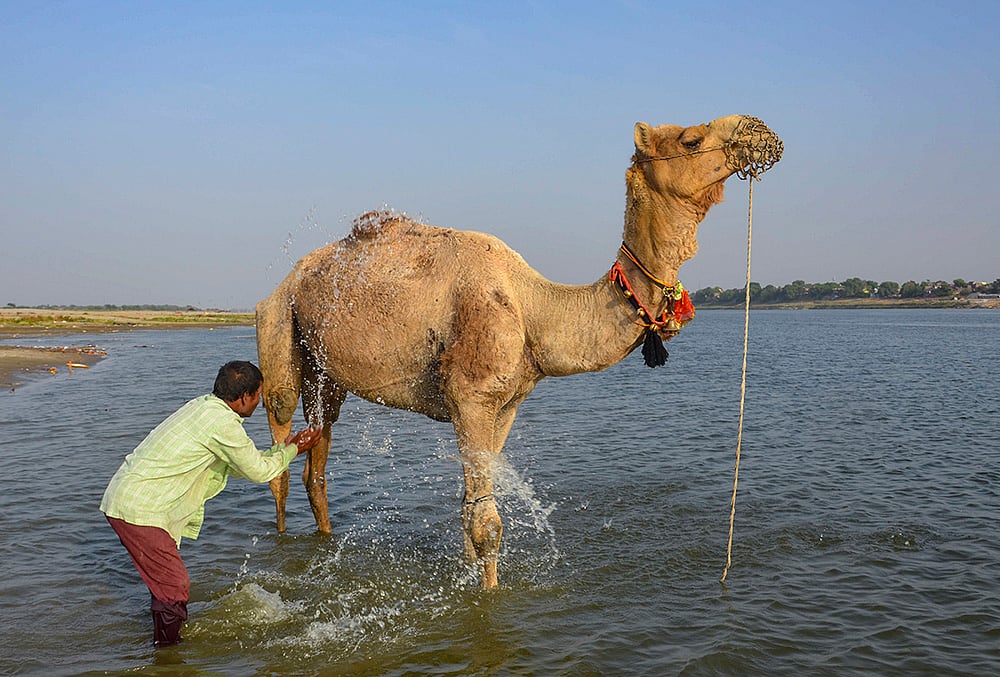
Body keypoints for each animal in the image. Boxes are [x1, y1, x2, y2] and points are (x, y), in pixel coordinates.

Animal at [255, 114, 782, 589]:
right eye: (690, 139)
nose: (759, 130)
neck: (535, 311)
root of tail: (293, 277)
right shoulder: (471, 395)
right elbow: (486, 525)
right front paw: (487, 598)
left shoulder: (507, 403)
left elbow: (467, 509)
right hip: (277, 323)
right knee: (279, 451)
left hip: (326, 372)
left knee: (317, 462)